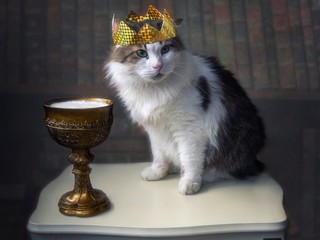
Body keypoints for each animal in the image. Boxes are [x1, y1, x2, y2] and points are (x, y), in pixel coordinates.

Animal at [105, 20, 264, 194]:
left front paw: (189, 182)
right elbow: (159, 154)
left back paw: (202, 175)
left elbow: (190, 159)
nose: (158, 66)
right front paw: (158, 172)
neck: (155, 90)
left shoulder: (190, 130)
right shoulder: (155, 130)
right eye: (141, 53)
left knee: (222, 168)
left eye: (165, 50)